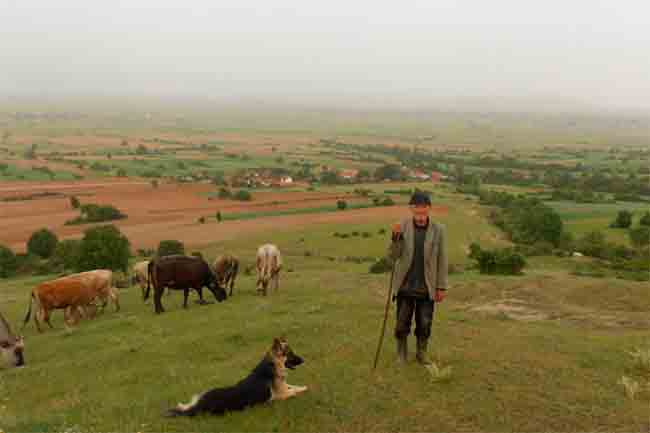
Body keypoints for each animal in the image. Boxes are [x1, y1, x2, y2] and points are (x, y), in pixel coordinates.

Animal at [167, 334, 308, 416]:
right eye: (290, 354)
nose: (303, 360)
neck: (273, 365)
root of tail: (199, 406)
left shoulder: (284, 386)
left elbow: (294, 386)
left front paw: (303, 387)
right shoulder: (279, 395)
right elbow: (293, 391)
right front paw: (302, 390)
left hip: (200, 395)